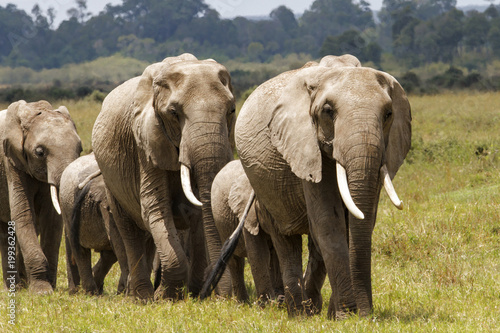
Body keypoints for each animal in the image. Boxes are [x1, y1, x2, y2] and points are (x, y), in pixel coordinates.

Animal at [0, 99, 82, 294]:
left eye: (81, 149)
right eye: (39, 152)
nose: (76, 290)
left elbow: (52, 219)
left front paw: (49, 285)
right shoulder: (12, 162)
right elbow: (23, 213)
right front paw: (42, 291)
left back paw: (20, 285)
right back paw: (13, 289)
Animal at [59, 152, 129, 294]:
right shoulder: (106, 202)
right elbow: (119, 241)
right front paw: (125, 291)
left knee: (108, 255)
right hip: (67, 205)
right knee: (79, 250)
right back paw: (88, 292)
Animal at [91, 53, 234, 300]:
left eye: (231, 111)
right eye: (174, 113)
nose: (220, 297)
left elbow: (198, 214)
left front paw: (192, 294)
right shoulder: (145, 142)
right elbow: (155, 207)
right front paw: (164, 297)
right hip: (110, 178)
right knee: (128, 228)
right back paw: (140, 296)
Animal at [232, 54, 412, 316]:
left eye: (388, 113)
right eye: (328, 111)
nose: (367, 314)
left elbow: (362, 220)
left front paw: (342, 314)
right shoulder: (305, 146)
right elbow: (328, 221)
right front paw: (347, 315)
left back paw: (313, 308)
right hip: (264, 188)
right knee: (286, 240)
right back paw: (299, 313)